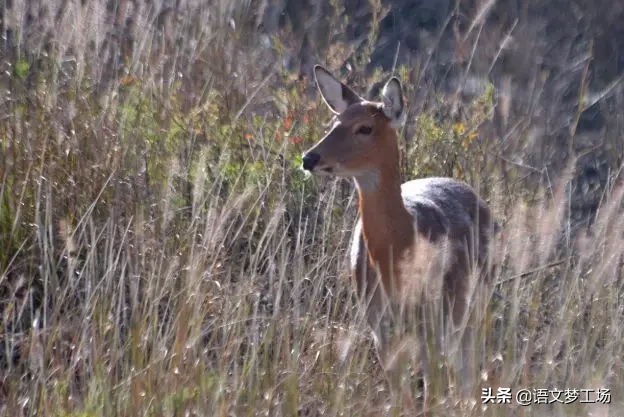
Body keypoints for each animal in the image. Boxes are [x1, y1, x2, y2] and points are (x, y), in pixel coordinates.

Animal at [302, 66, 498, 406]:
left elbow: (433, 393)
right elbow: (401, 397)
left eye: (365, 127)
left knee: (467, 372)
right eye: (334, 123)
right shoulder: (380, 327)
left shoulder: (433, 322)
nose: (309, 158)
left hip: (471, 305)